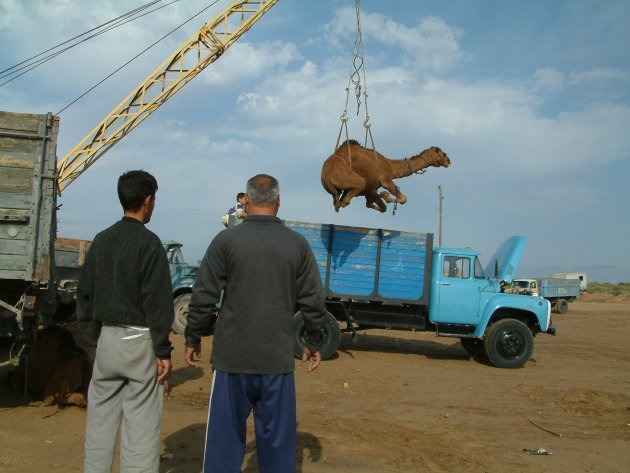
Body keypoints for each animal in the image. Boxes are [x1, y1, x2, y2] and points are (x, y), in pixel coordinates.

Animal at [324, 140, 452, 212]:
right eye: (443, 154)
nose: (448, 161)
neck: (391, 166)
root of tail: (326, 174)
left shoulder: (371, 190)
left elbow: (377, 206)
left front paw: (383, 197)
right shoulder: (386, 179)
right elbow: (403, 198)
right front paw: (385, 195)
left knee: (340, 199)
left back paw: (338, 202)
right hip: (349, 178)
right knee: (348, 198)